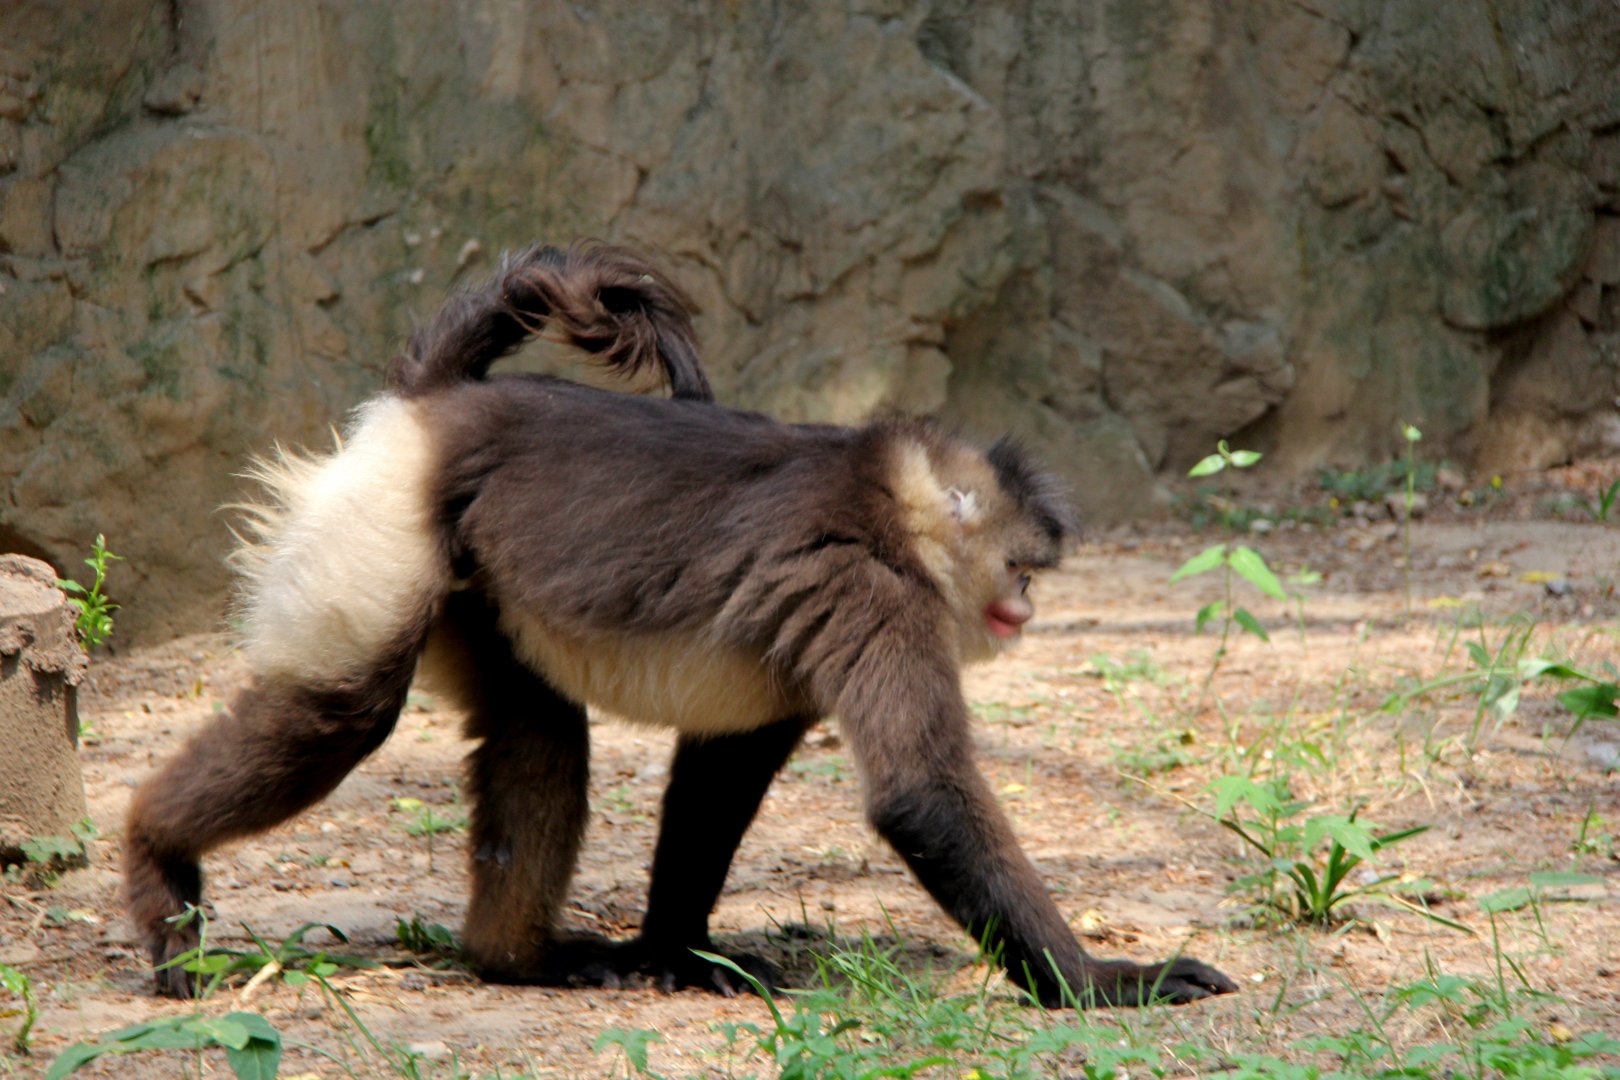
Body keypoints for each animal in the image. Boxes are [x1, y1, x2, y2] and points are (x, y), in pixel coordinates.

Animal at [124, 243, 1237, 1008]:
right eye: (1022, 568)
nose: (1027, 608)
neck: (888, 499)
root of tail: (439, 400)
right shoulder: (871, 587)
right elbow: (919, 796)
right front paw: (1102, 983)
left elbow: (725, 766)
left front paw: (675, 955)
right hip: (388, 524)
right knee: (349, 713)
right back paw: (155, 853)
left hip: (472, 582)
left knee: (540, 737)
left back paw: (512, 962)